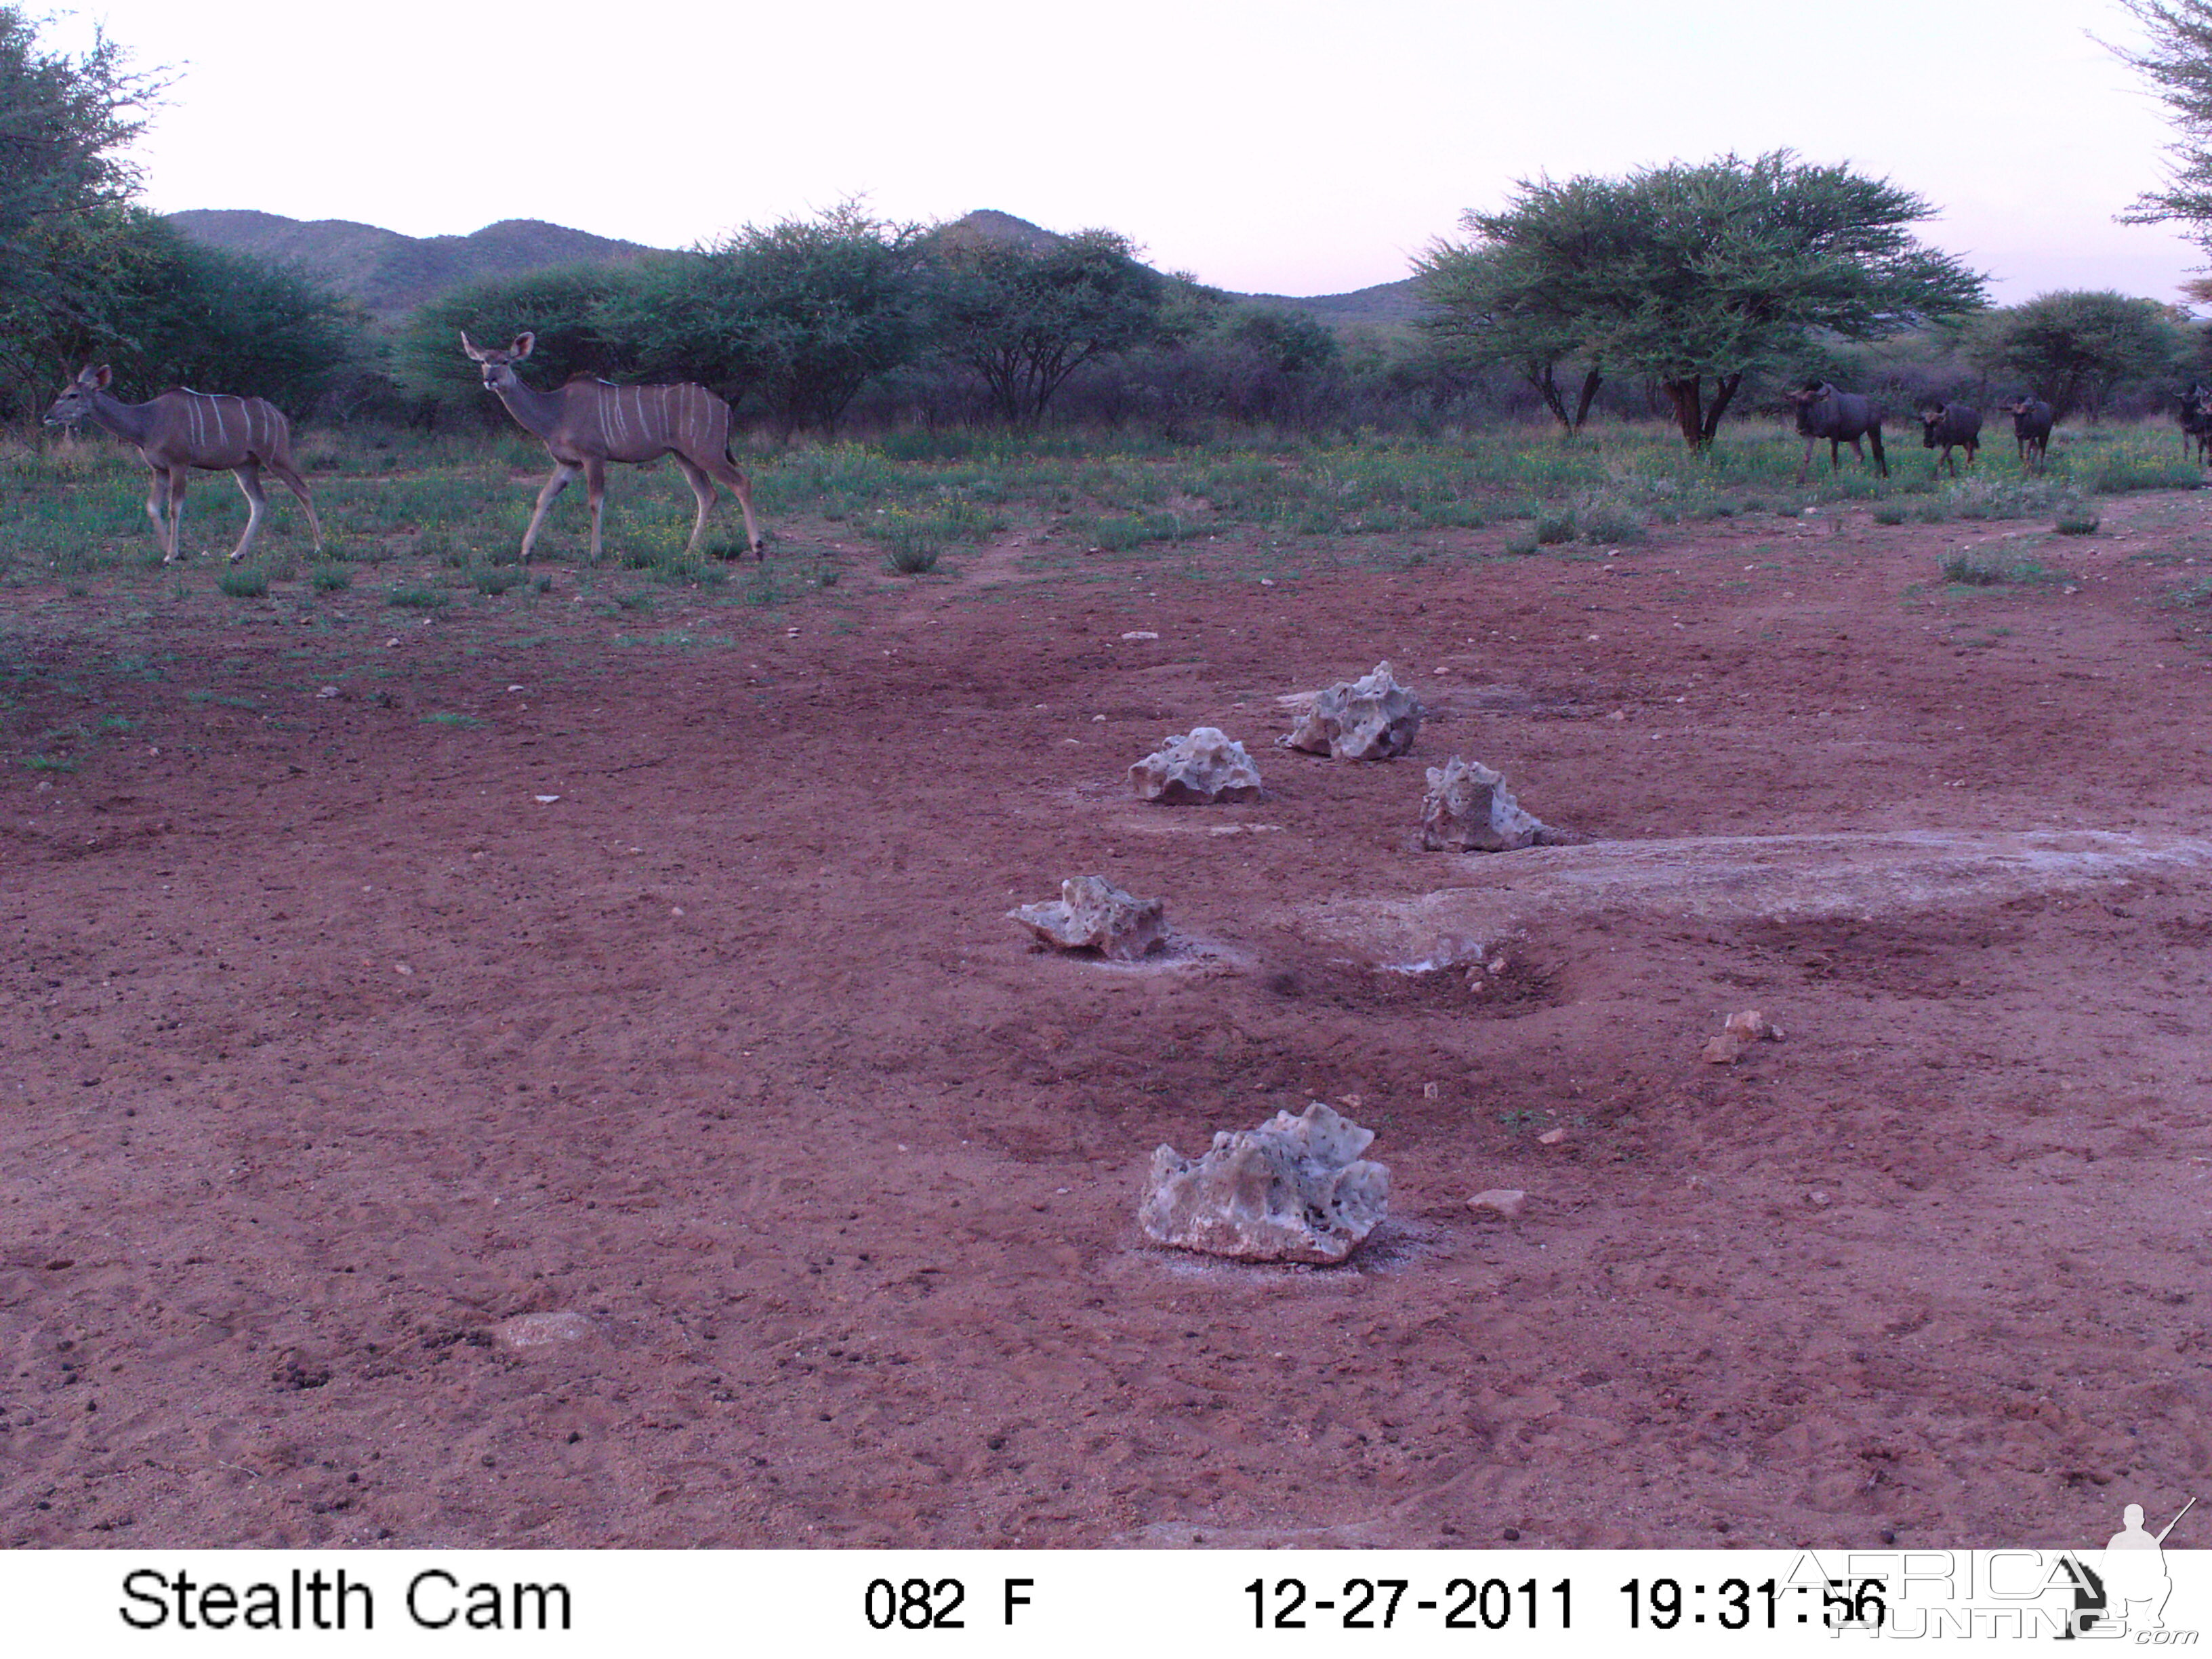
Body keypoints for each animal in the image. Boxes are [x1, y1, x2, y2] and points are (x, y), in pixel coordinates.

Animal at [43, 369, 323, 566]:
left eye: (73, 395)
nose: (48, 416)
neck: (147, 422)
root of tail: (280, 416)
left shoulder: (179, 464)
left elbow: (174, 507)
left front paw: (172, 554)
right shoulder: (159, 470)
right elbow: (152, 506)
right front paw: (171, 552)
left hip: (276, 457)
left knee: (304, 491)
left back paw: (319, 547)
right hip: (245, 466)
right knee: (259, 501)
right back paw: (236, 554)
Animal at [459, 333, 769, 571]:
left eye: (506, 361)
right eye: (484, 361)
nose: (490, 380)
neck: (557, 410)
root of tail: (724, 405)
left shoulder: (593, 457)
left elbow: (595, 501)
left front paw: (595, 554)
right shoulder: (568, 464)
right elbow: (544, 497)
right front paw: (525, 551)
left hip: (707, 453)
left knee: (742, 483)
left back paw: (757, 548)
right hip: (684, 456)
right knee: (707, 495)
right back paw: (689, 551)